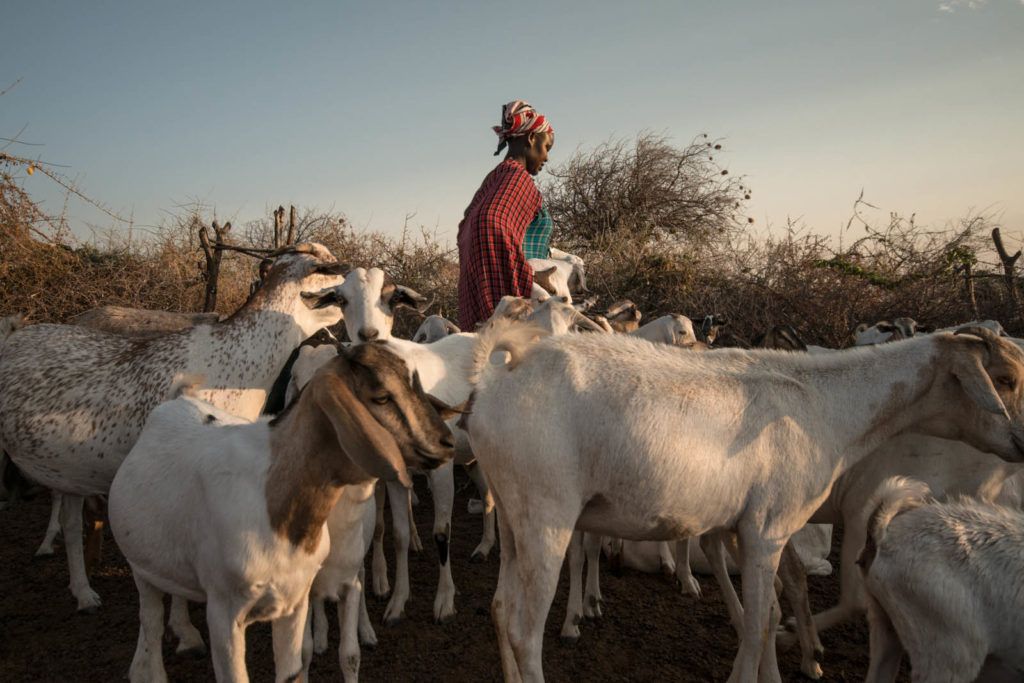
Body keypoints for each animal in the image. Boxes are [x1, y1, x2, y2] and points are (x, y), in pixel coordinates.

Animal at [0, 242, 348, 610]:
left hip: (70, 470)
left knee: (70, 523)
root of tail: (14, 334)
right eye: (329, 267)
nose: (353, 272)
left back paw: (83, 592)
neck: (236, 359)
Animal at [109, 344, 456, 683]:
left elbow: (297, 669)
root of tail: (178, 400)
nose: (447, 442)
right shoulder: (224, 613)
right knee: (150, 630)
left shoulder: (294, 601)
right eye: (382, 396)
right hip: (143, 570)